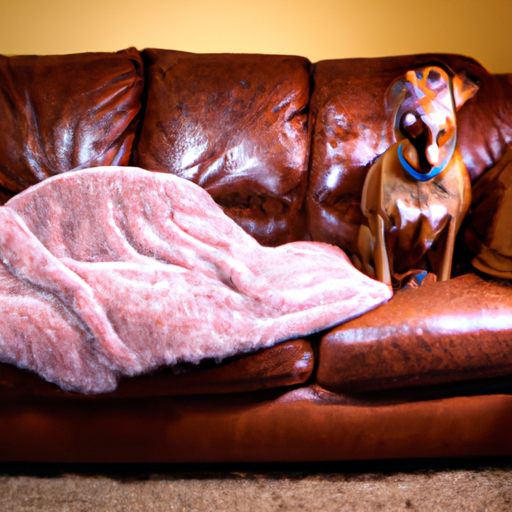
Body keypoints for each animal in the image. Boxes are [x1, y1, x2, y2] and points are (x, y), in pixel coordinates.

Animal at [356, 64, 480, 288]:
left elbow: (444, 273)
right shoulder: (380, 222)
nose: (407, 84)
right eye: (400, 87)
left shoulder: (451, 228)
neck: (423, 172)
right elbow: (384, 273)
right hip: (365, 233)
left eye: (434, 76)